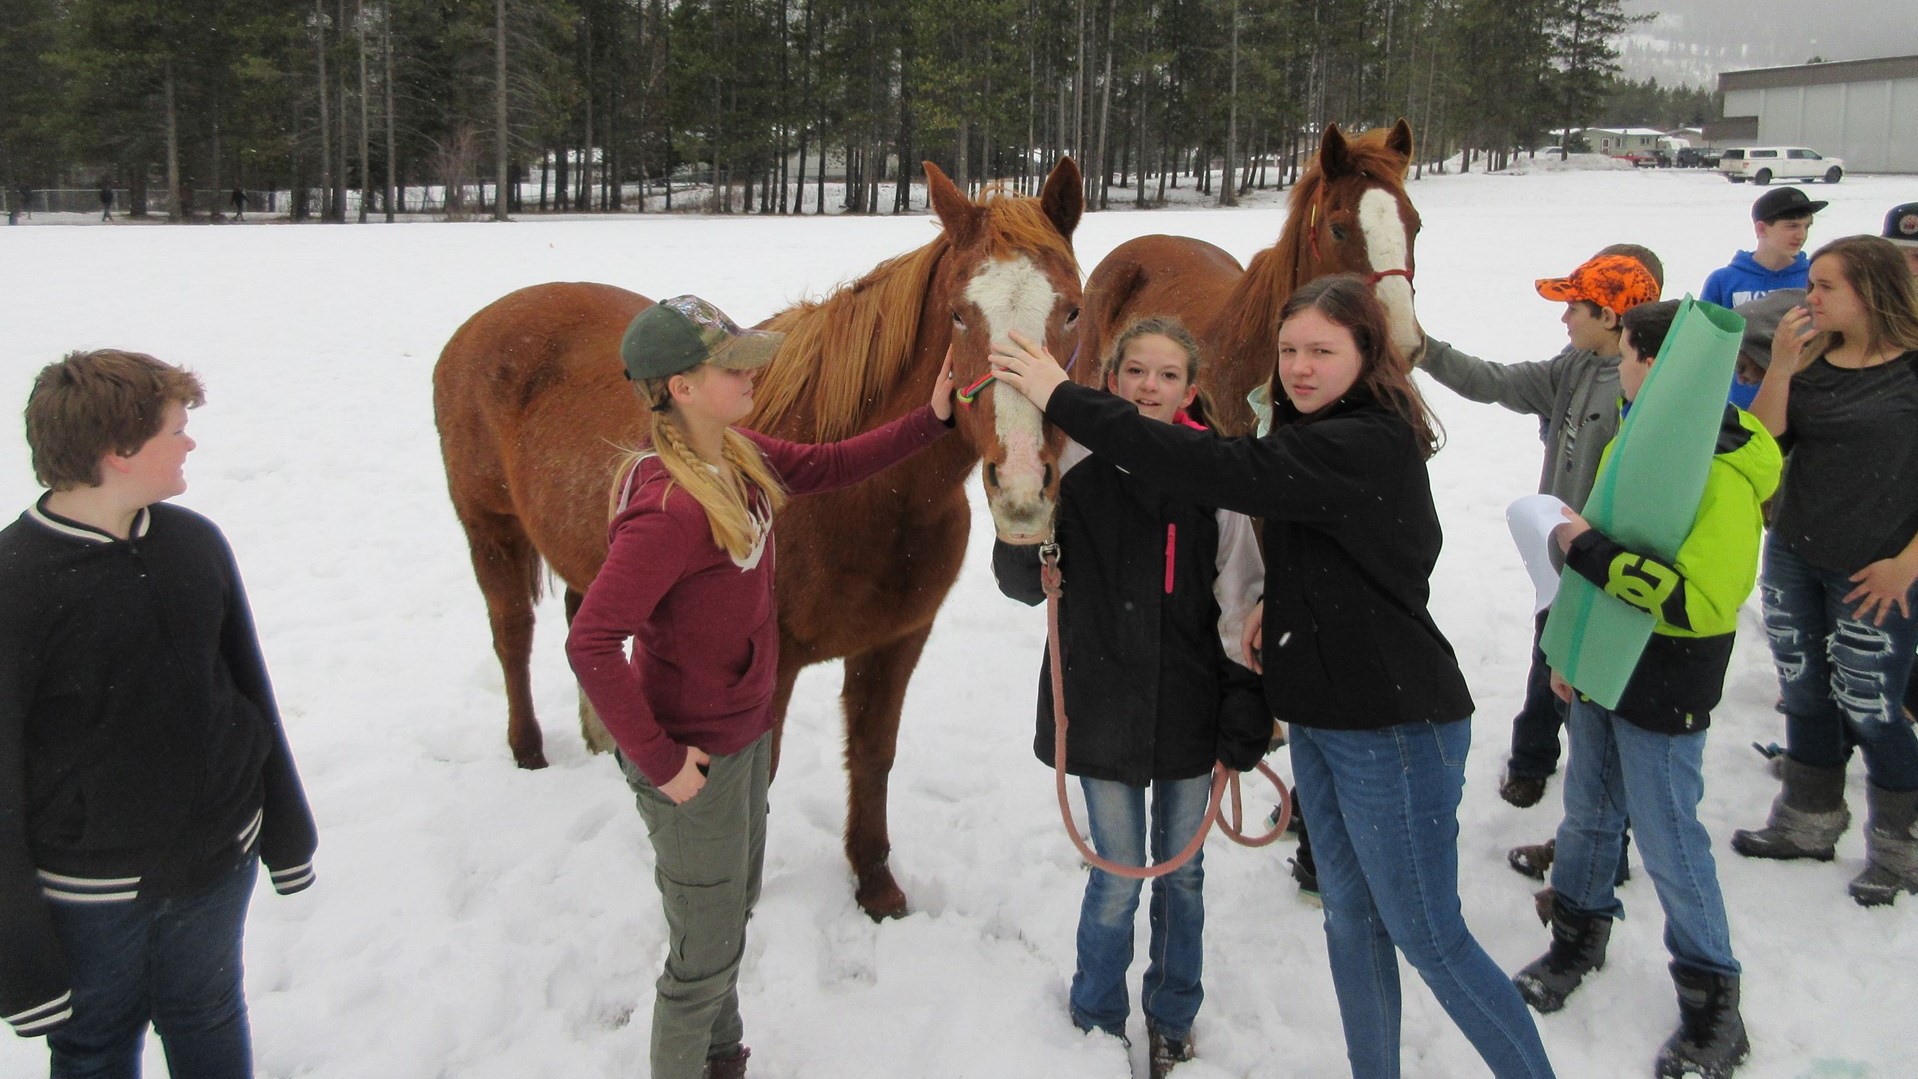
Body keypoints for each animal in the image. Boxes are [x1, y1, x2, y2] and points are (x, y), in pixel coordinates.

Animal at [439, 160, 1097, 919]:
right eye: (961, 313)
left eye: (1072, 310)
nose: (1022, 490)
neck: (869, 499)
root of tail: (481, 323)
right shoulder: (770, 670)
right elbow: (760, 781)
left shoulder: (896, 642)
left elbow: (872, 754)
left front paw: (875, 883)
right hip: (488, 529)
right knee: (512, 635)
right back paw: (529, 751)